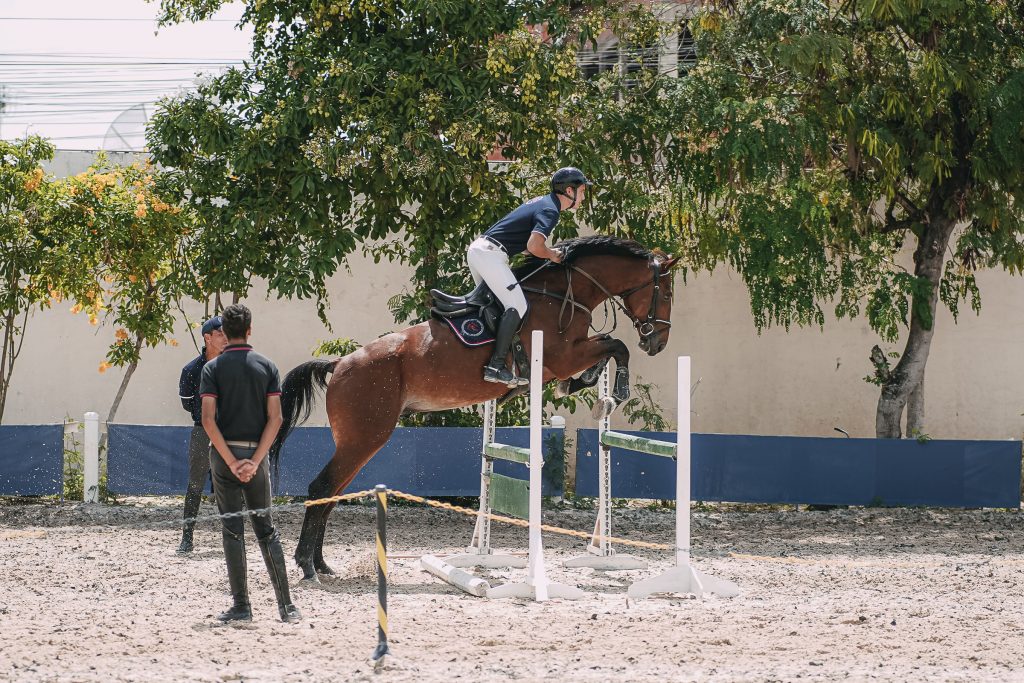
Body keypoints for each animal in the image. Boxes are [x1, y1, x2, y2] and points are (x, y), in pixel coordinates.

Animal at [274, 236, 679, 581]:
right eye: (667, 292)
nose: (658, 343)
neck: (566, 293)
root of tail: (340, 362)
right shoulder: (562, 357)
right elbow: (615, 345)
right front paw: (610, 389)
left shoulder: (567, 356)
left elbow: (609, 347)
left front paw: (590, 383)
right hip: (365, 437)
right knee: (322, 487)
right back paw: (306, 565)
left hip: (358, 441)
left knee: (331, 494)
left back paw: (322, 565)